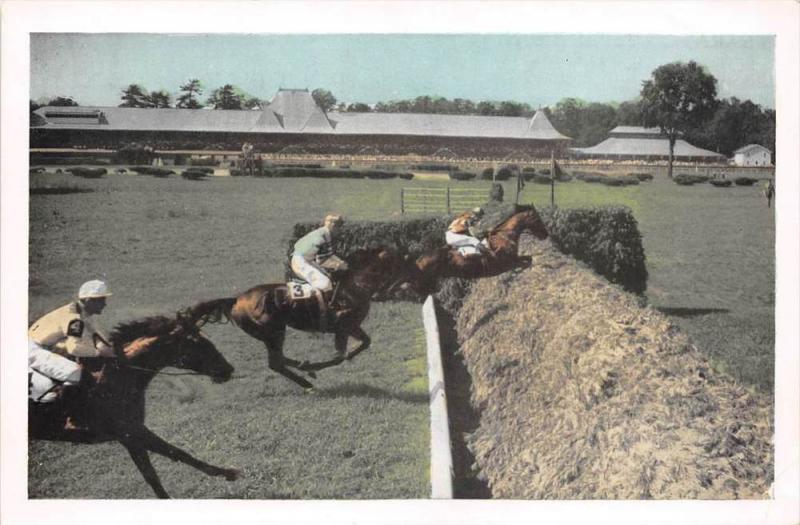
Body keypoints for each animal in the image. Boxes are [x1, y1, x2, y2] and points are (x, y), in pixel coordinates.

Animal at [28, 314, 241, 498]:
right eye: (198, 344)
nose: (228, 369)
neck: (115, 376)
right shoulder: (131, 431)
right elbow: (173, 456)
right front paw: (228, 472)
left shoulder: (130, 436)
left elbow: (157, 470)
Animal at [184, 246, 410, 388]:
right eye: (397, 262)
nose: (404, 286)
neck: (355, 284)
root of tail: (237, 299)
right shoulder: (344, 325)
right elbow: (343, 354)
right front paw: (320, 365)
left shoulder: (350, 327)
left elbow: (361, 345)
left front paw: (318, 364)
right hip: (274, 331)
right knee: (275, 363)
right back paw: (306, 380)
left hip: (271, 334)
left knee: (280, 360)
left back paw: (304, 367)